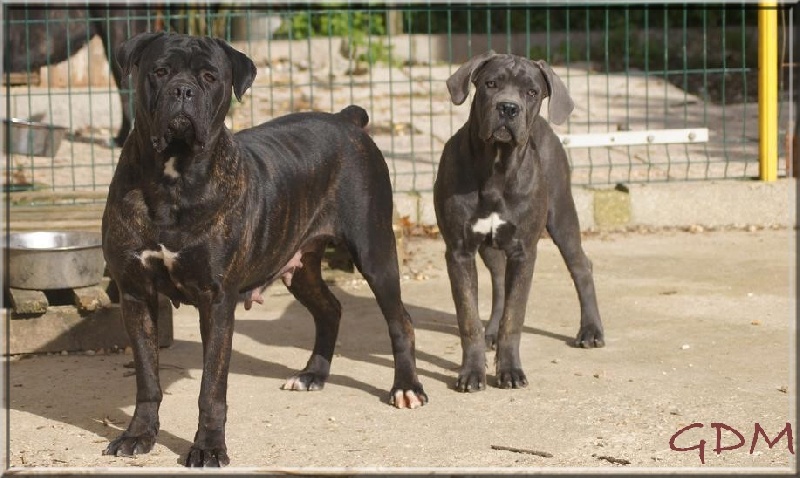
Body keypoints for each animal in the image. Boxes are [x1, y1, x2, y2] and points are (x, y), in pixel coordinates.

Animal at [101, 32, 427, 467]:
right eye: (160, 71)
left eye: (209, 76)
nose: (183, 90)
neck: (173, 176)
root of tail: (346, 119)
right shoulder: (136, 294)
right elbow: (147, 377)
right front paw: (138, 434)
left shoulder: (216, 301)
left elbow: (211, 388)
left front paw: (208, 447)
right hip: (300, 263)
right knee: (330, 309)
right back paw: (312, 374)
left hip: (375, 252)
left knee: (399, 320)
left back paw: (406, 387)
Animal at [433, 51, 605, 393]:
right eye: (491, 84)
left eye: (532, 92)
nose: (508, 108)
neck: (497, 167)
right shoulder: (459, 251)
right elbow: (468, 317)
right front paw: (472, 372)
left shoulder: (524, 252)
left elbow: (515, 316)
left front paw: (510, 370)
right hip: (490, 246)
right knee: (499, 280)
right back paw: (491, 332)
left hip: (562, 214)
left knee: (581, 266)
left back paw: (591, 330)